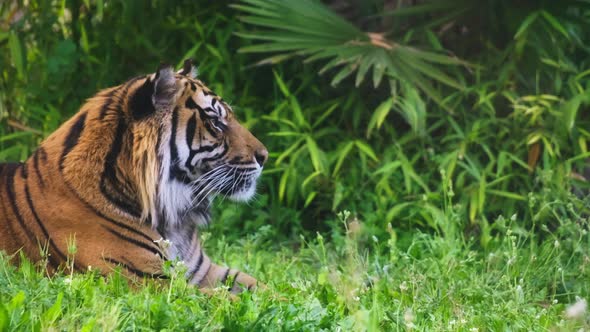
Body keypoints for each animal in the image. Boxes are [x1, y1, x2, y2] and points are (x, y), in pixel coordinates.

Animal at [0, 59, 268, 294]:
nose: (265, 156)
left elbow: (263, 287)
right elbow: (222, 298)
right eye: (215, 122)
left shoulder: (203, 271)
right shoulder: (150, 281)